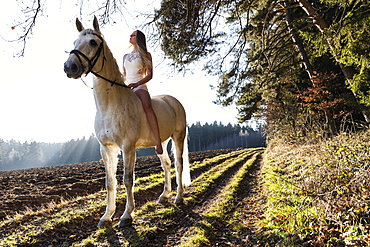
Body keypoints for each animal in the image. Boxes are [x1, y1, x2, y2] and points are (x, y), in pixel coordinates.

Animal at [63, 15, 191, 228]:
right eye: (74, 42)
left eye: (93, 42)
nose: (69, 67)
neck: (109, 106)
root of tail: (173, 100)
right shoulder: (107, 148)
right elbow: (110, 182)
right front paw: (106, 216)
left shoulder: (128, 146)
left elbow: (128, 179)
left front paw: (126, 215)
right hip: (162, 142)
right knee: (166, 164)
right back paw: (164, 195)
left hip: (178, 137)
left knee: (179, 165)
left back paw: (178, 197)